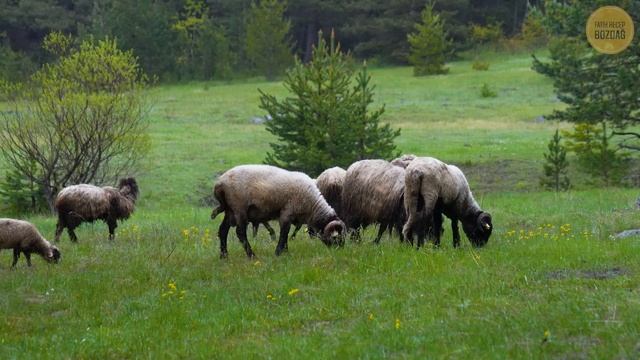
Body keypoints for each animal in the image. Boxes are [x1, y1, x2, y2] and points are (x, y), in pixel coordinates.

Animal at [210, 165, 344, 258]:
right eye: (336, 238)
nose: (341, 250)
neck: (312, 205)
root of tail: (220, 183)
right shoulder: (287, 213)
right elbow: (284, 233)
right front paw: (279, 253)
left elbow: (286, 234)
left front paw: (285, 252)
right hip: (239, 208)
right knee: (240, 232)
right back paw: (251, 255)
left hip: (230, 210)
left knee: (223, 230)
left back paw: (224, 256)